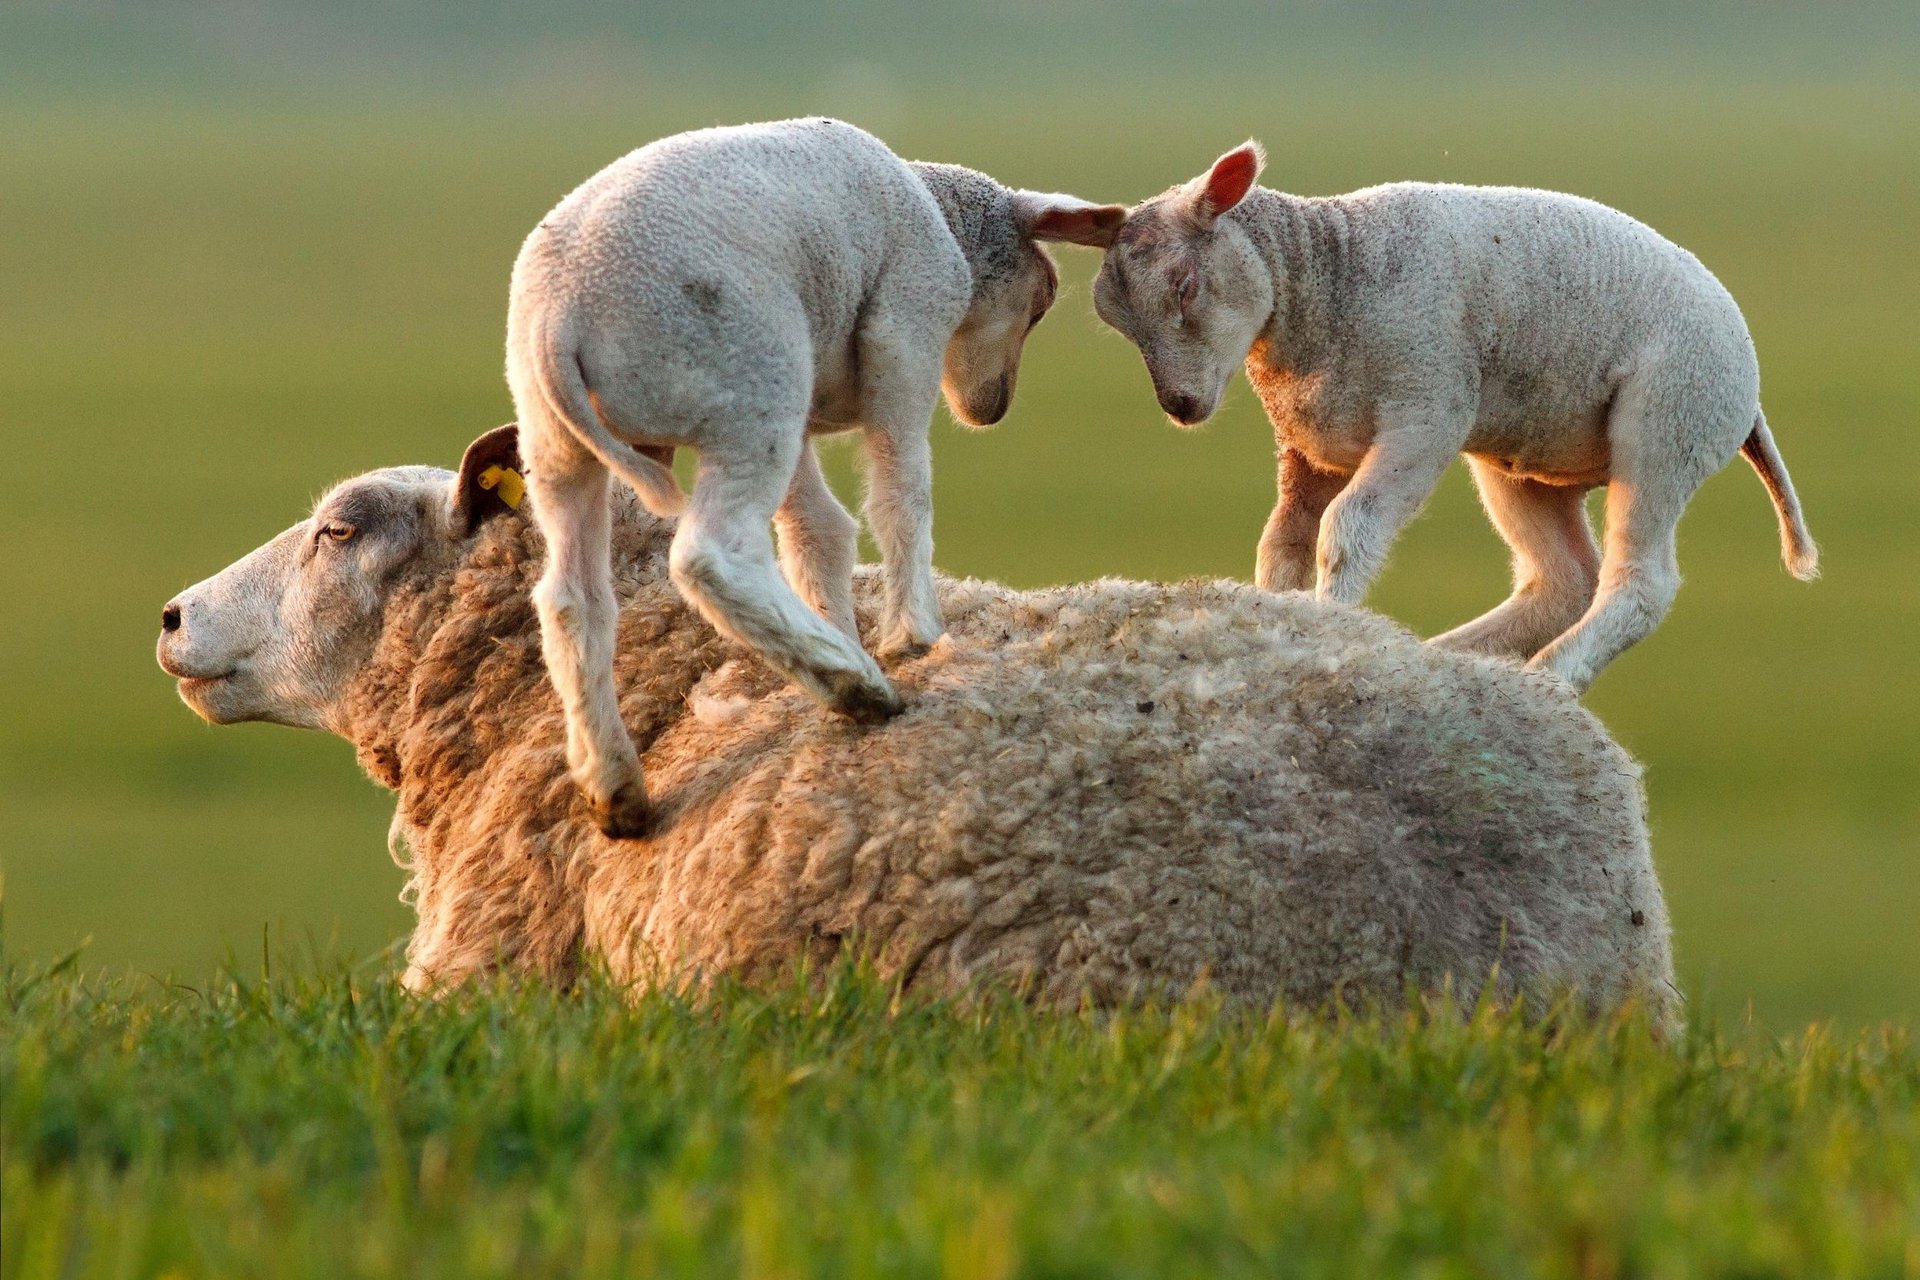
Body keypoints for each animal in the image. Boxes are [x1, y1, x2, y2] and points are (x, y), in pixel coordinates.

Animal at [505, 116, 1124, 838]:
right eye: (1043, 300)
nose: (990, 410)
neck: (943, 214)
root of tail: (559, 325)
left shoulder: (807, 416)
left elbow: (816, 531)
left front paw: (839, 623)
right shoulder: (905, 326)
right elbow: (902, 492)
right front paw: (913, 635)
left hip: (556, 444)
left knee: (571, 599)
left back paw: (616, 784)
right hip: (750, 384)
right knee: (710, 556)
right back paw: (854, 685)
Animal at [1047, 143, 1818, 691]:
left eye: (1184, 287)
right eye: (1115, 320)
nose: (1180, 408)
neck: (1330, 282)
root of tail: (1749, 390)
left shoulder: (1425, 415)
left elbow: (1346, 532)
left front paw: (1336, 627)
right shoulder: (1308, 448)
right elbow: (1282, 546)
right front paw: (1290, 627)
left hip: (1670, 419)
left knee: (1639, 583)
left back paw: (1552, 678)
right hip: (1526, 460)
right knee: (1564, 580)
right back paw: (1452, 659)